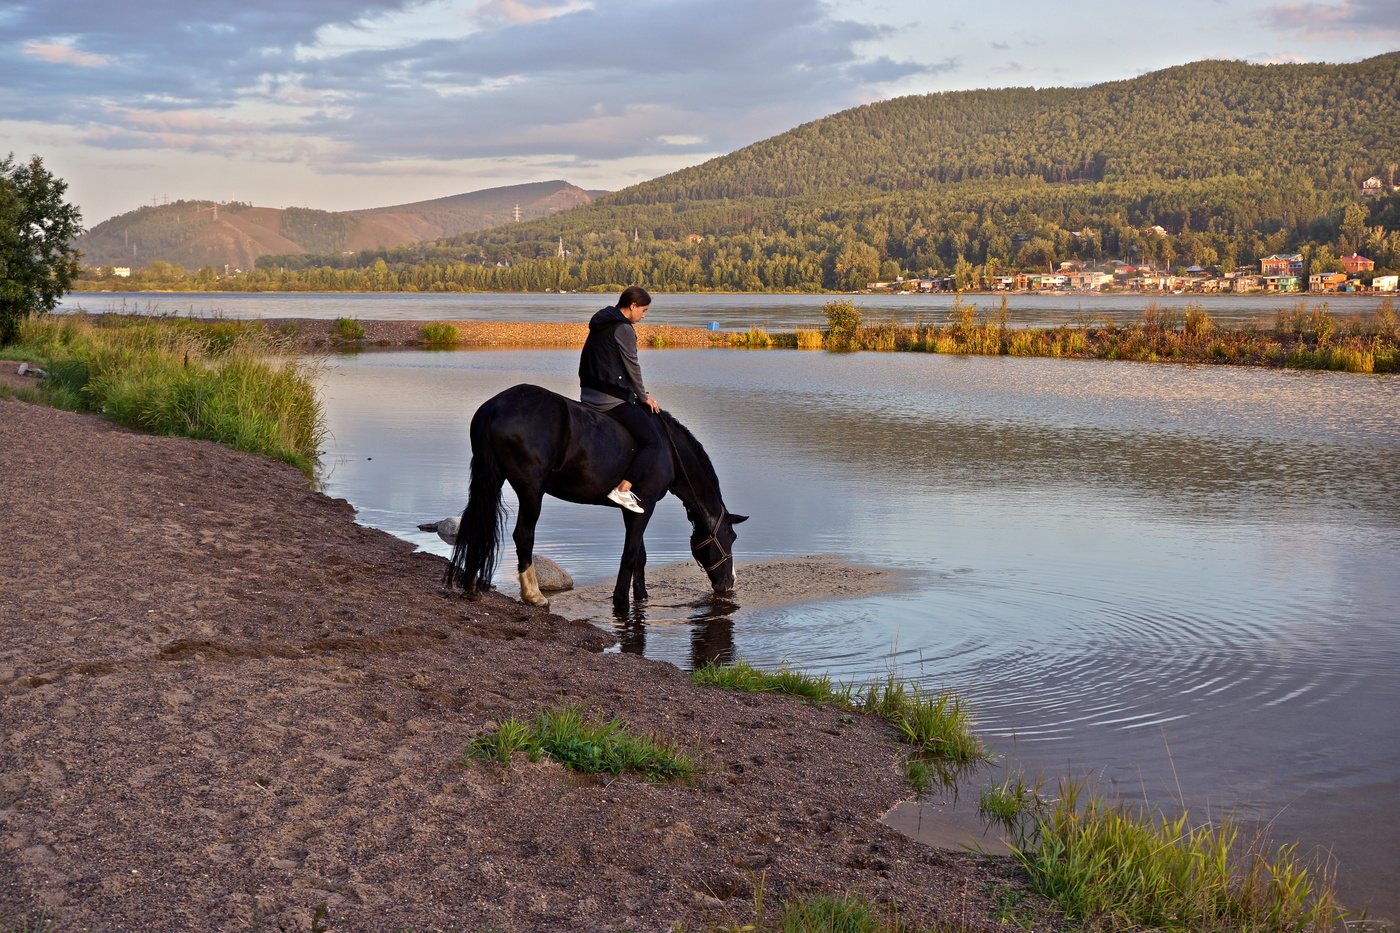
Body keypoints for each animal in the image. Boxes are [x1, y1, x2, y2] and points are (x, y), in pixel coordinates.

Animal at [453, 381, 750, 607]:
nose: (730, 583)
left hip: (490, 479)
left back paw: (470, 586)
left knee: (477, 525)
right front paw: (621, 601)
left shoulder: (635, 509)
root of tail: (494, 407)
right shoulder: (646, 505)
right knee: (523, 536)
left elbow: (639, 556)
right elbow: (630, 554)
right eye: (732, 537)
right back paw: (534, 595)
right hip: (531, 491)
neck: (669, 450)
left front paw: (641, 596)